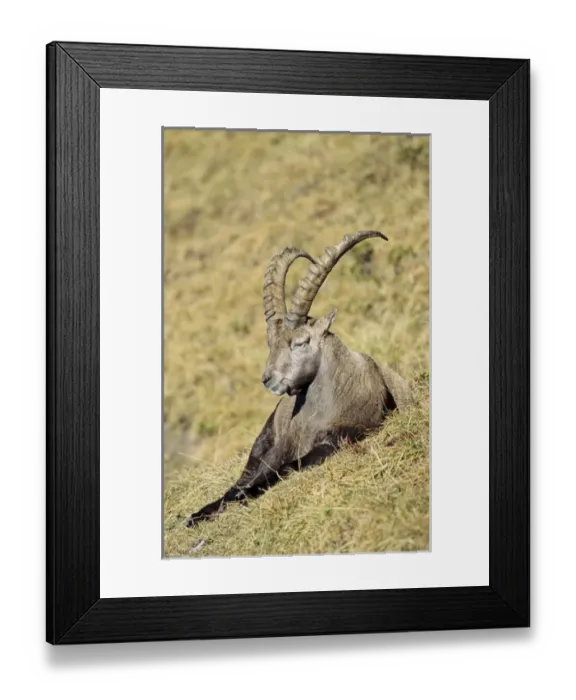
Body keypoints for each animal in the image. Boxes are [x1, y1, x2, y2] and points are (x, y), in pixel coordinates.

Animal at [186, 230, 412, 528]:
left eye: (301, 342)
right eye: (271, 343)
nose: (268, 379)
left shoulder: (339, 438)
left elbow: (287, 468)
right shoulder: (280, 446)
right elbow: (255, 478)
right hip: (264, 438)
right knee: (241, 478)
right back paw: (197, 515)